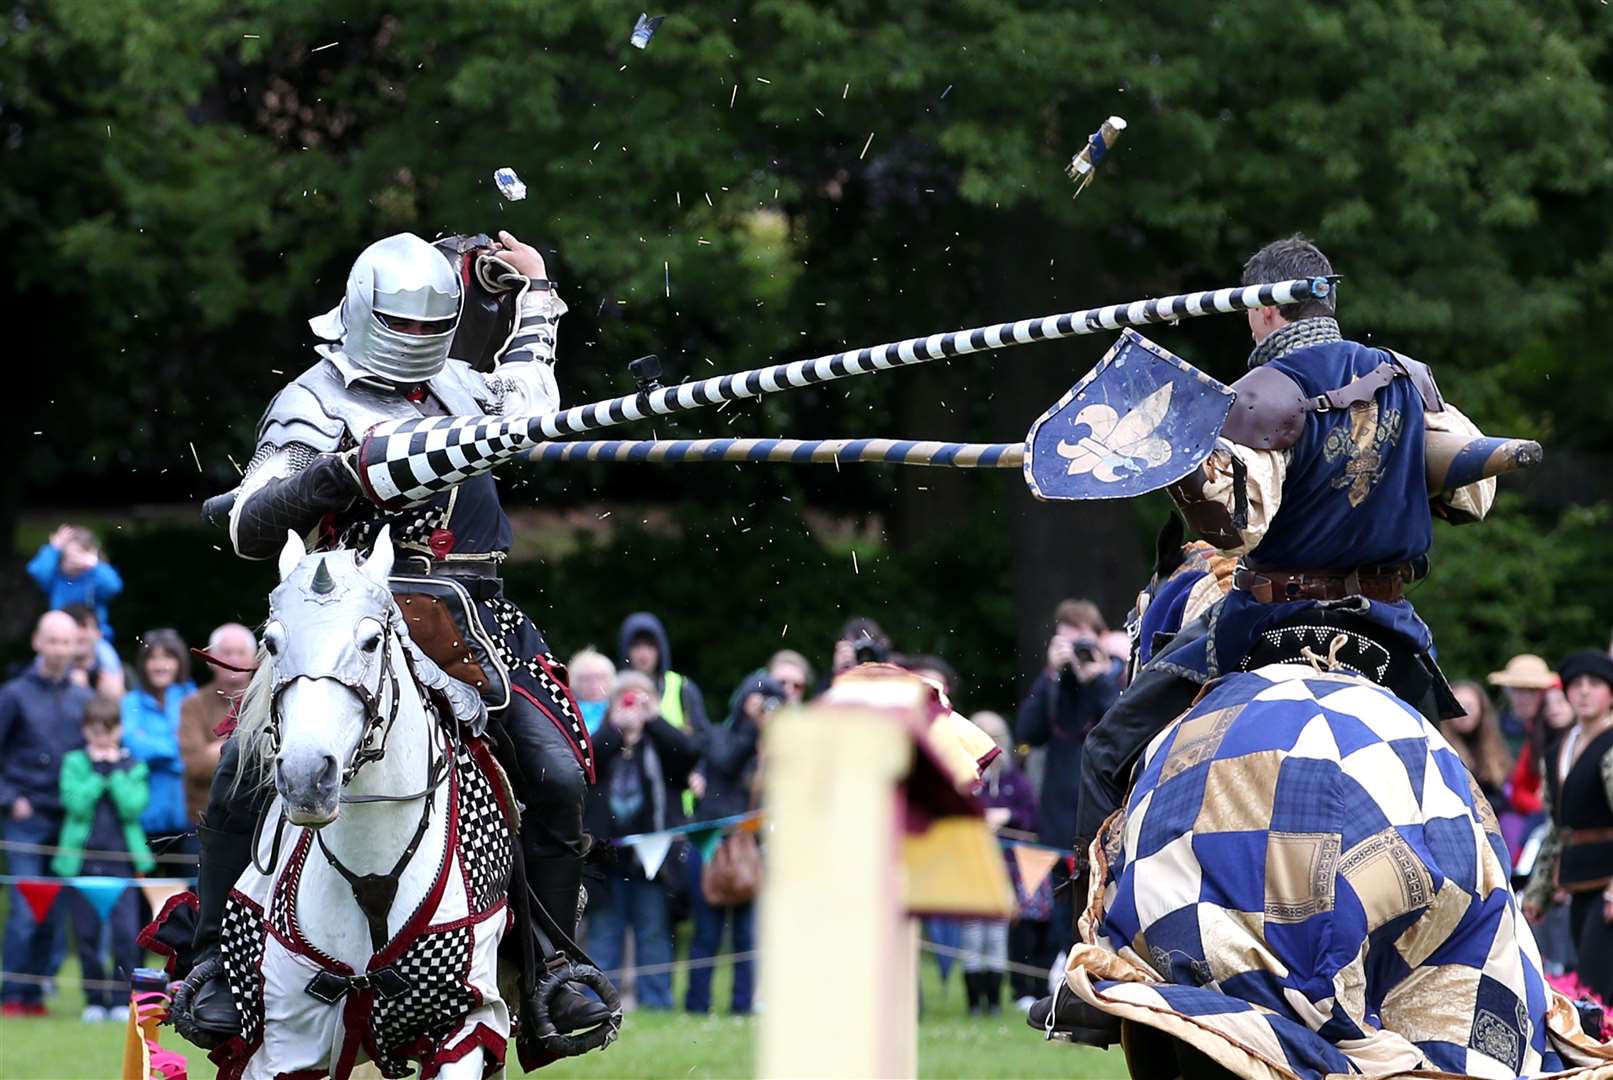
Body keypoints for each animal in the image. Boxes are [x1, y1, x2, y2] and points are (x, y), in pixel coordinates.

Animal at [217, 531, 512, 1080]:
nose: (306, 777)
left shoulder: (467, 1020)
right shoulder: (280, 1043)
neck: (371, 873)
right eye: (272, 642)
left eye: (371, 641)